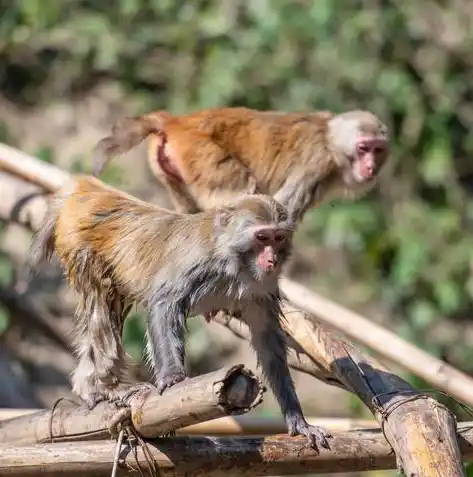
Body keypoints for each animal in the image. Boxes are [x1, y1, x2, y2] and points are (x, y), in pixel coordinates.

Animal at [93, 106, 390, 219]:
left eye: (378, 150)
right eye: (364, 148)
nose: (371, 167)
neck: (331, 141)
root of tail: (176, 121)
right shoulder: (316, 165)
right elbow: (280, 208)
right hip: (201, 152)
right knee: (243, 191)